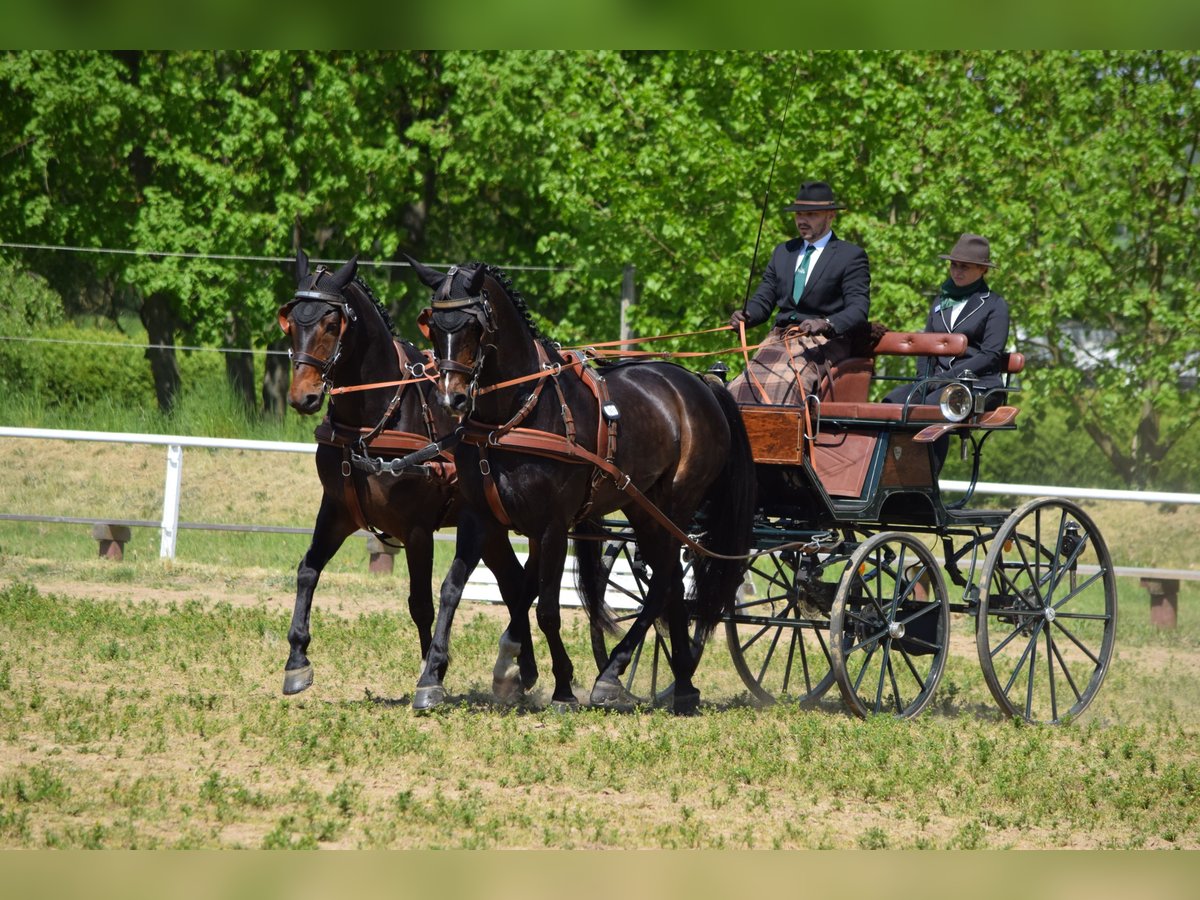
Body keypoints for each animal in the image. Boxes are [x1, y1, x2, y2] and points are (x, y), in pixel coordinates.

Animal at [276, 254, 540, 705]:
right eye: (290, 322)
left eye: (332, 323)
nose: (302, 396)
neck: (371, 422)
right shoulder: (337, 510)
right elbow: (307, 570)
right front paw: (297, 660)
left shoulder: (416, 528)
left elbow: (421, 602)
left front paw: (431, 673)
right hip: (489, 526)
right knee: (513, 581)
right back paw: (521, 670)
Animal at [408, 260, 753, 720]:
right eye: (432, 324)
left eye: (475, 326)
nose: (452, 398)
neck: (514, 416)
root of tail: (700, 382)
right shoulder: (480, 517)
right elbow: (456, 589)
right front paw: (434, 678)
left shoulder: (554, 526)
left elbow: (548, 608)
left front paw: (562, 687)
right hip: (643, 508)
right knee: (671, 586)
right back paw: (681, 685)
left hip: (675, 505)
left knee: (664, 582)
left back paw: (614, 674)